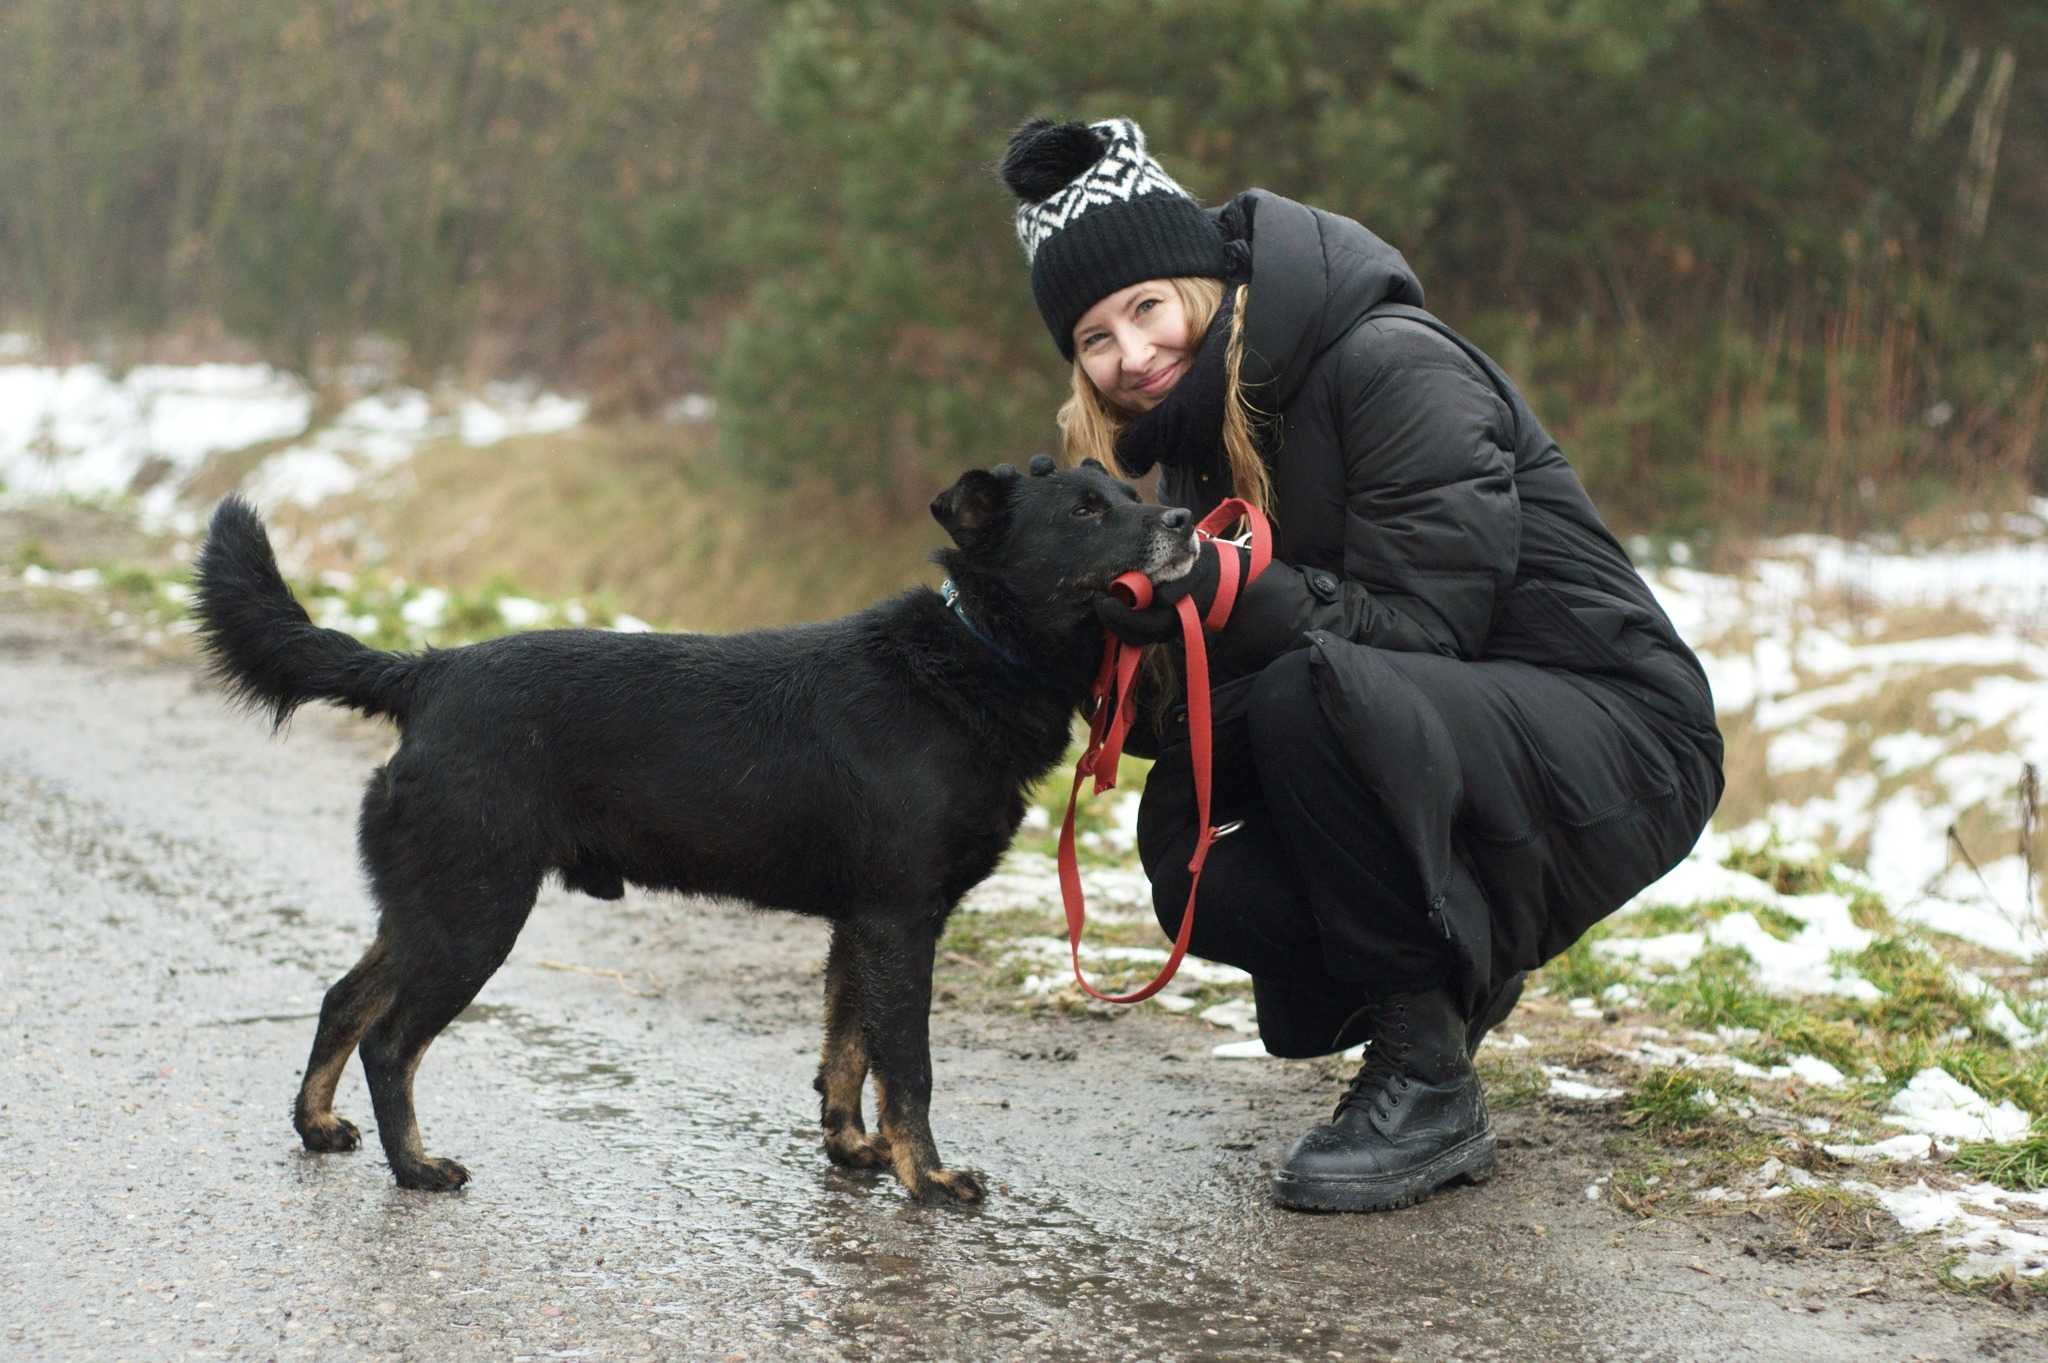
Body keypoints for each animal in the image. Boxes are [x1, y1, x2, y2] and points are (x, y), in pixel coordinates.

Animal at [193, 458, 1196, 1203]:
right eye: (1086, 509)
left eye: (1131, 492)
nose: (1188, 517)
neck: (970, 657)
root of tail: (427, 673)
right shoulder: (900, 921)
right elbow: (906, 1067)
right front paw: (929, 1178)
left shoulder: (861, 926)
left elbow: (846, 1052)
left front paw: (853, 1152)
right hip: (474, 914)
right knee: (391, 1041)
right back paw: (416, 1167)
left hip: (429, 907)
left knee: (342, 999)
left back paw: (318, 1125)